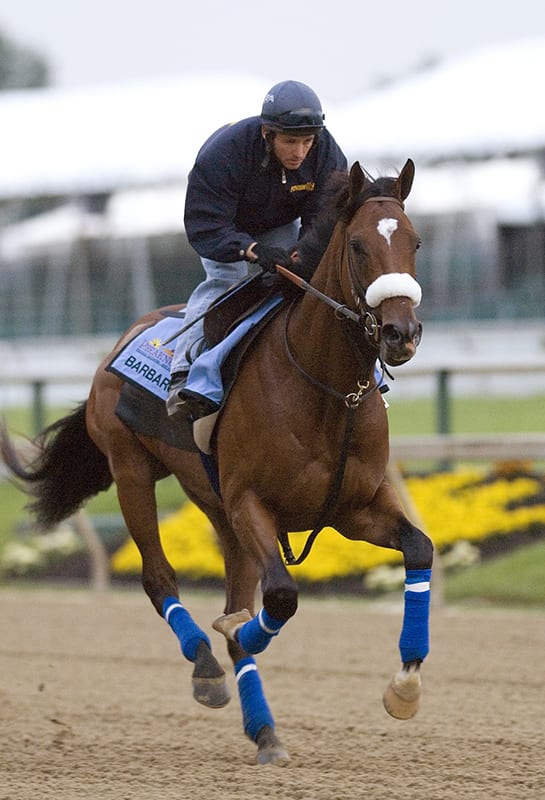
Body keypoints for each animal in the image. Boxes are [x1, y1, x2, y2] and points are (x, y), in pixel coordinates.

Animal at [1, 159, 434, 764]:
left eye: (413, 241)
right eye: (357, 245)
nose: (401, 333)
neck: (326, 392)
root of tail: (127, 336)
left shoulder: (355, 507)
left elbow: (419, 547)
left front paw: (406, 686)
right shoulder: (251, 501)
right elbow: (279, 597)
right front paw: (232, 633)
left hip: (217, 510)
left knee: (234, 586)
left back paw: (265, 730)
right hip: (132, 471)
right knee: (159, 578)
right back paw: (206, 664)